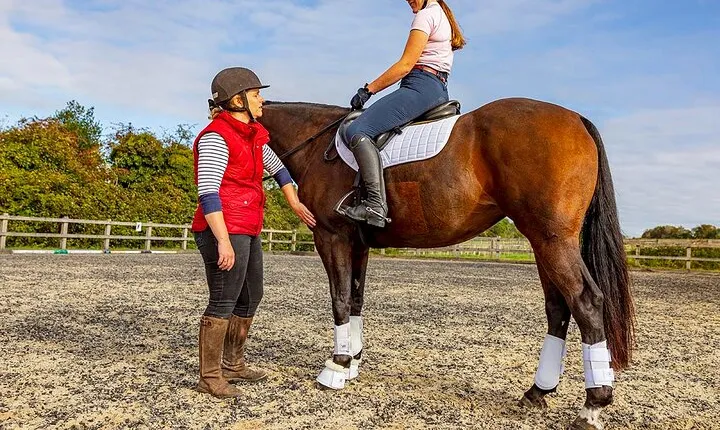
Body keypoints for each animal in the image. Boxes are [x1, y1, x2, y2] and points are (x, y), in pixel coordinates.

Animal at [258, 97, 634, 430]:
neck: (315, 142)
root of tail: (576, 119)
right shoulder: (358, 244)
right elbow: (355, 300)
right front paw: (353, 362)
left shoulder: (331, 236)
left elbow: (338, 300)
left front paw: (336, 368)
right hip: (544, 243)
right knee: (558, 308)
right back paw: (537, 392)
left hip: (553, 240)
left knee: (586, 302)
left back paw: (592, 406)